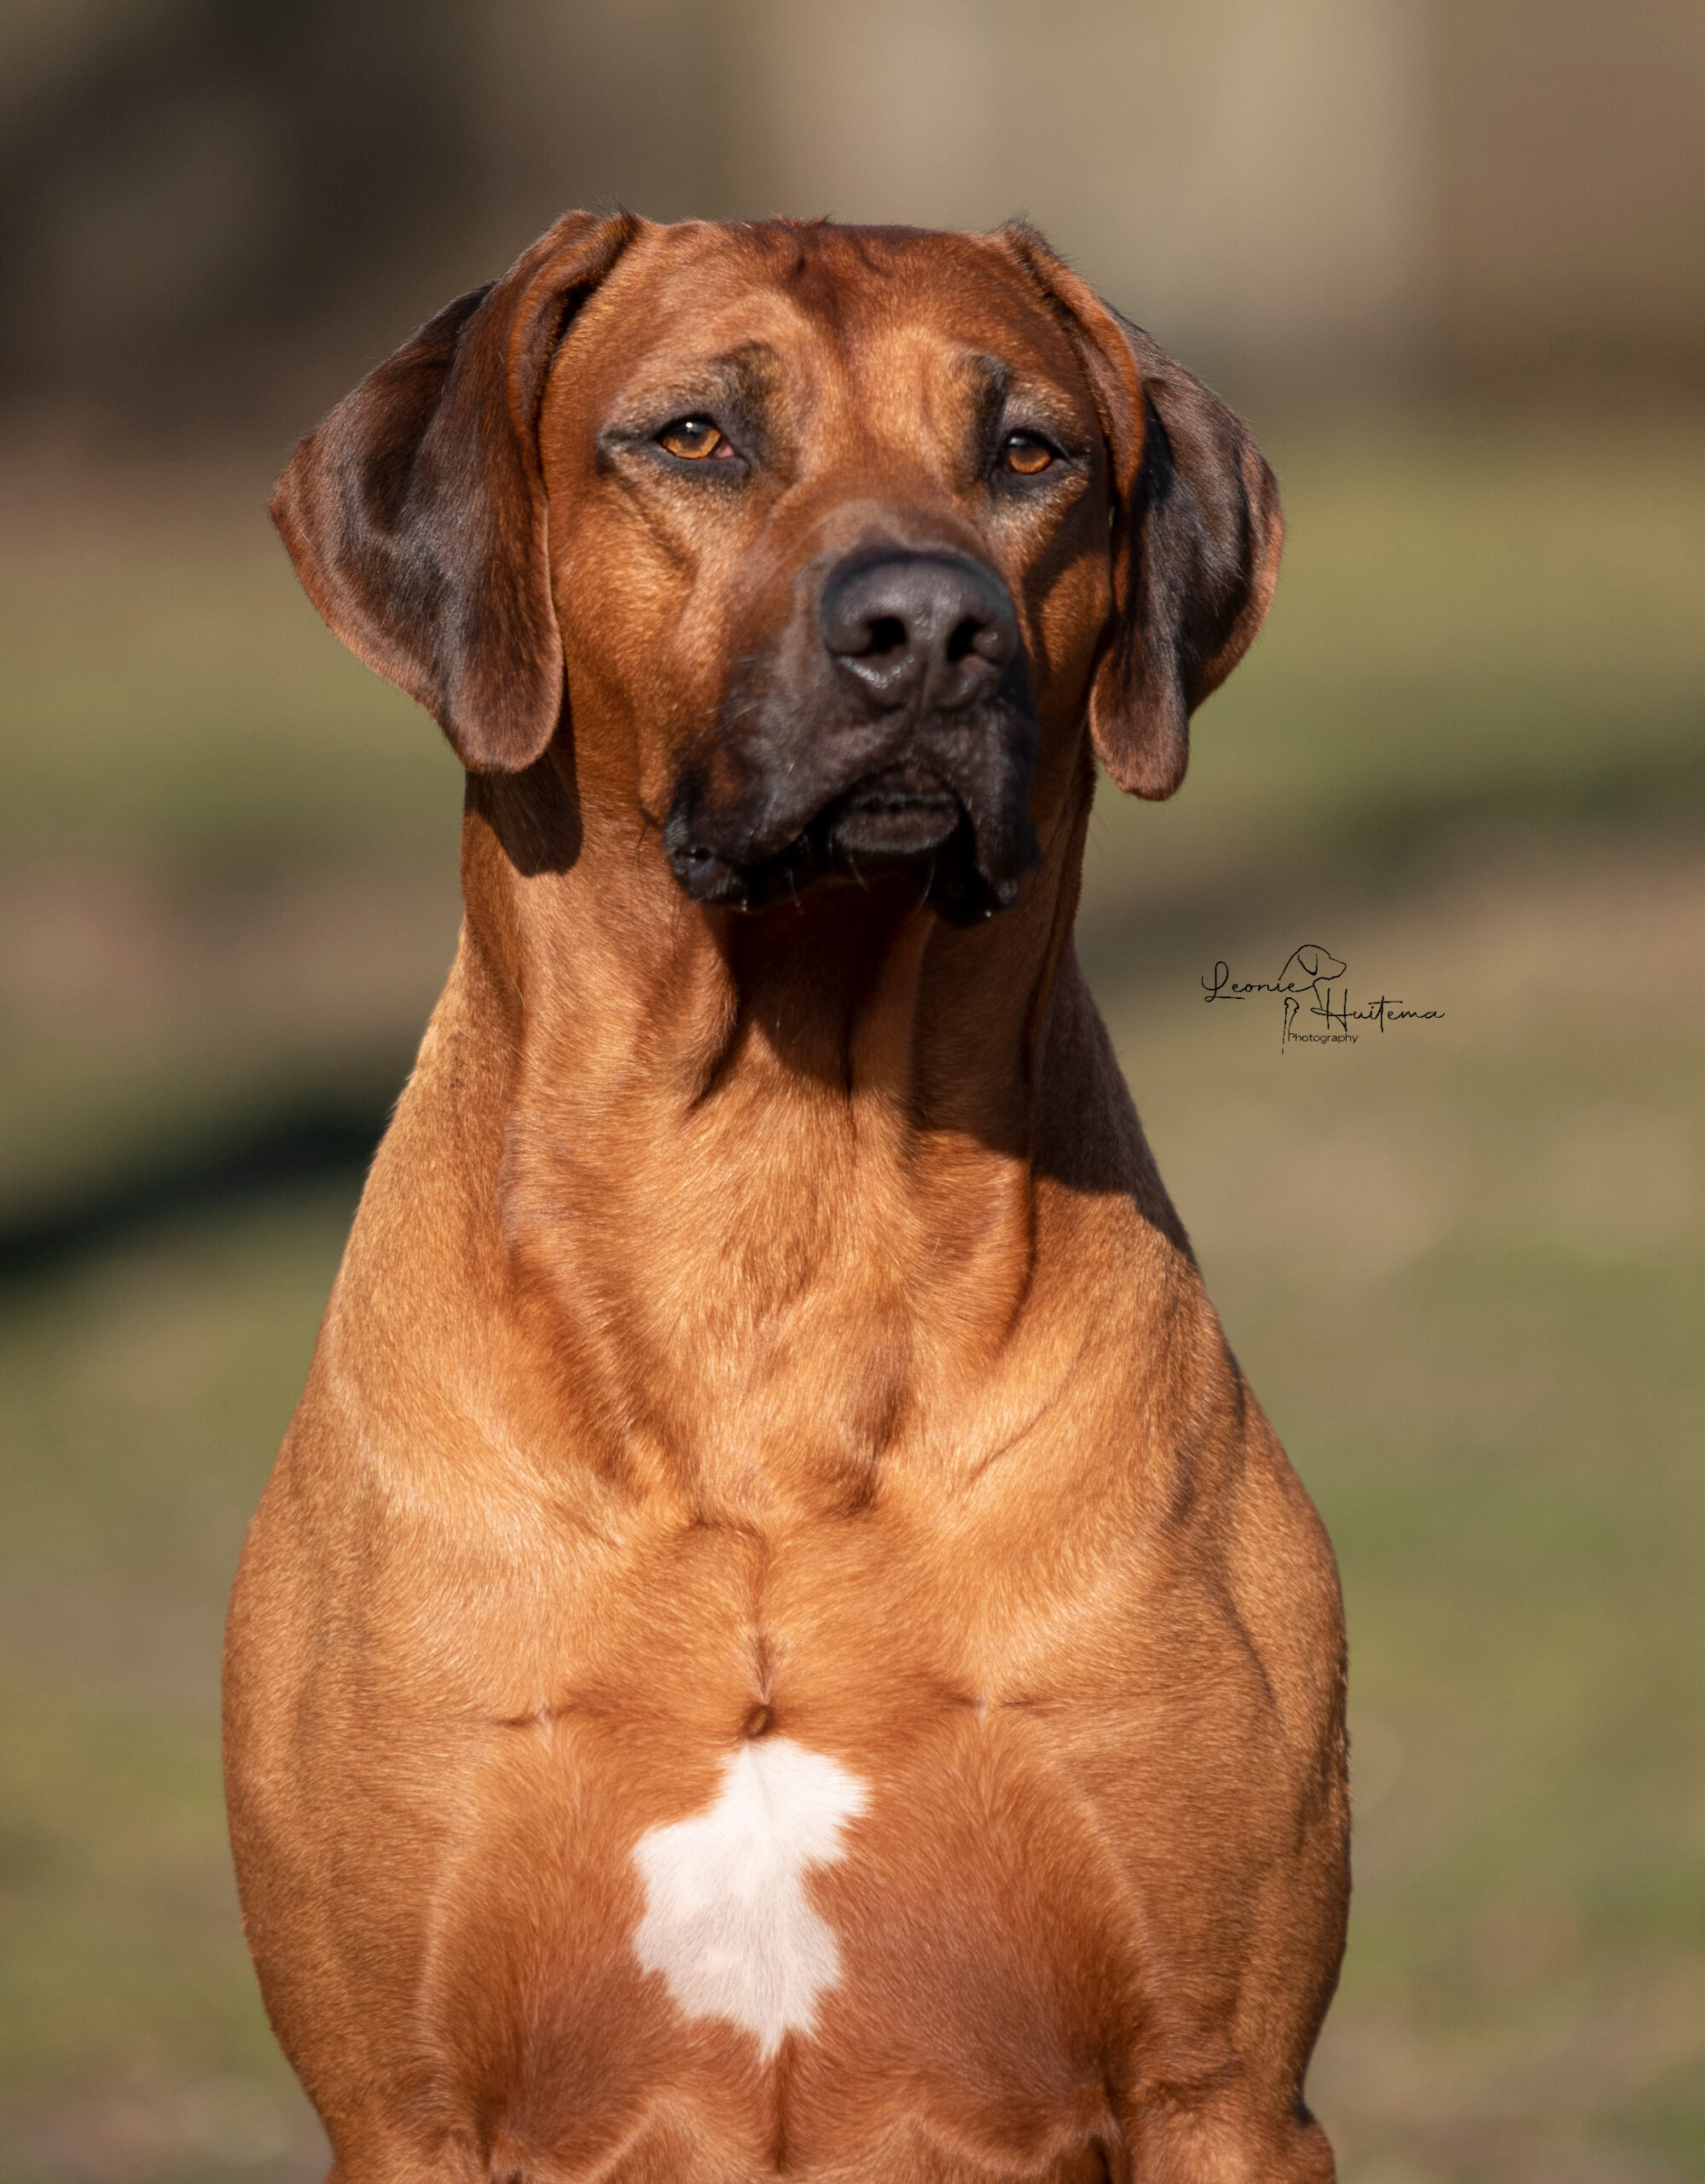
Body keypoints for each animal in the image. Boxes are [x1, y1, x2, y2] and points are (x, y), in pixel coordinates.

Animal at [226, 212, 1349, 2184]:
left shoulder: (1227, 2090)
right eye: (695, 436)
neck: (774, 1176)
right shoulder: (403, 2107)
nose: (929, 629)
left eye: (1029, 452)